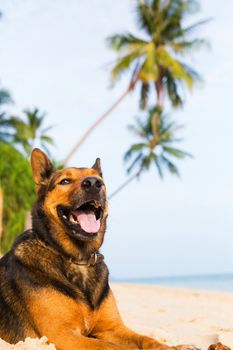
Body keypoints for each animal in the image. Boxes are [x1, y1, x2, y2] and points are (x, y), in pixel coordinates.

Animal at [0, 149, 196, 348]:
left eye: (100, 180)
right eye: (65, 181)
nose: (95, 184)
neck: (79, 258)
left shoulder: (111, 328)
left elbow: (146, 339)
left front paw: (172, 346)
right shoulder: (61, 334)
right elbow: (110, 346)